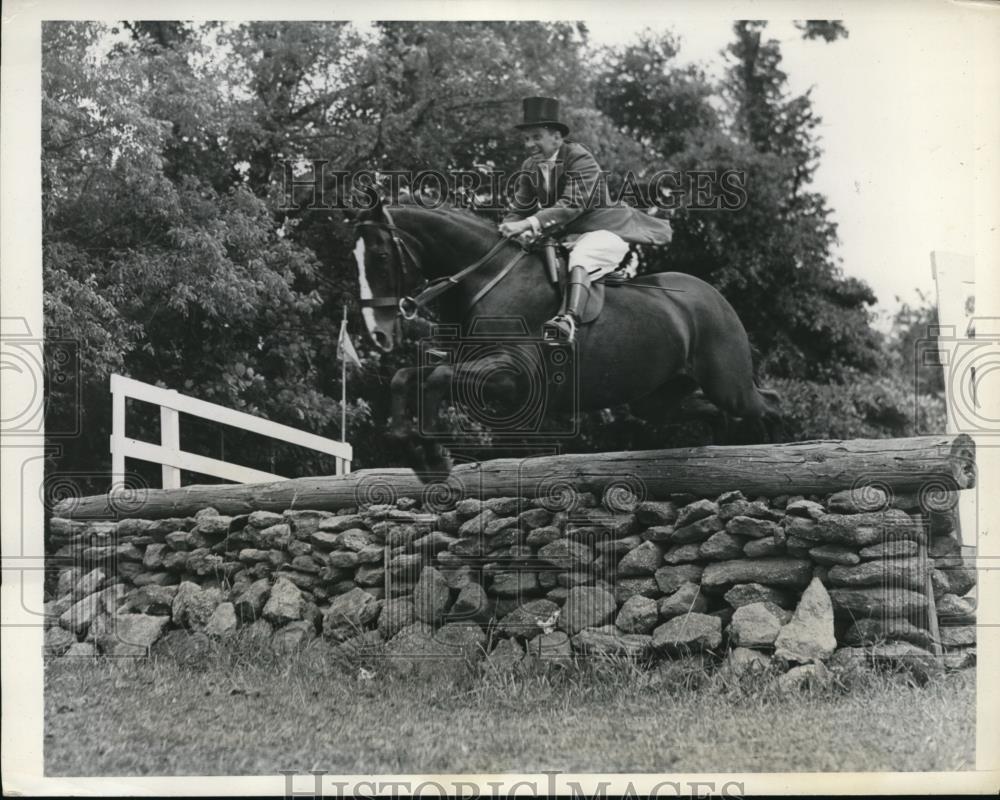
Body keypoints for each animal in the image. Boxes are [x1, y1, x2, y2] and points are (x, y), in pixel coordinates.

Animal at [352, 200, 780, 482]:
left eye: (380, 257)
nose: (379, 333)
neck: (487, 277)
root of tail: (715, 298)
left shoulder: (511, 378)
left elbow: (437, 377)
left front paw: (434, 454)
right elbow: (408, 376)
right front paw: (417, 449)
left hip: (729, 384)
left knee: (766, 404)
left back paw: (770, 455)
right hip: (656, 400)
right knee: (710, 411)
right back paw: (722, 453)